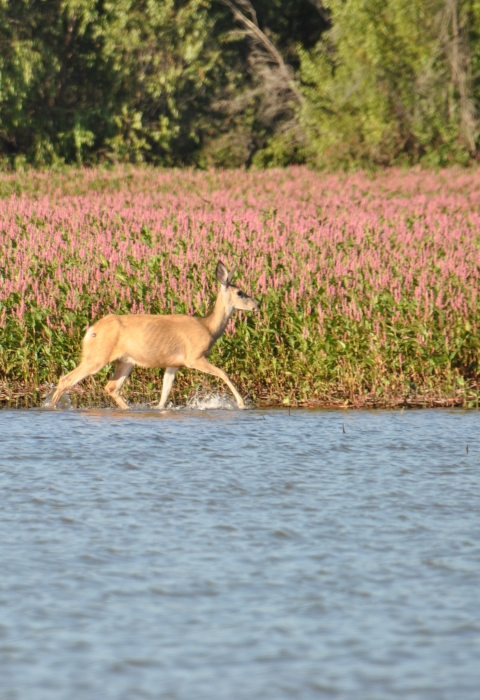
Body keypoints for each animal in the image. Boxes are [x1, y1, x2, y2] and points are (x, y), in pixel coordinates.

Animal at [44, 261, 259, 411]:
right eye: (240, 293)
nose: (257, 304)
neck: (208, 327)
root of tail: (90, 331)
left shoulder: (173, 363)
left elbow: (165, 394)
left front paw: (158, 408)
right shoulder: (194, 357)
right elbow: (224, 373)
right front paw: (241, 403)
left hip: (125, 361)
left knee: (111, 387)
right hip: (97, 356)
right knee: (66, 379)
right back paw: (51, 407)